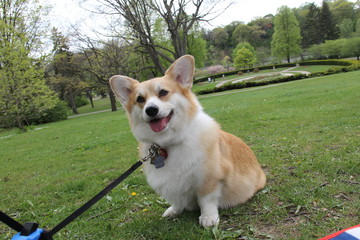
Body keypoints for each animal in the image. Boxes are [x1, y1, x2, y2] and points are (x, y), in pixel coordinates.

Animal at [108, 54, 266, 227]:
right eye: (140, 99)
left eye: (163, 92)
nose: (151, 110)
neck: (168, 143)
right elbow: (177, 201)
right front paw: (174, 210)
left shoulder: (208, 179)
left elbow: (206, 200)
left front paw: (208, 218)